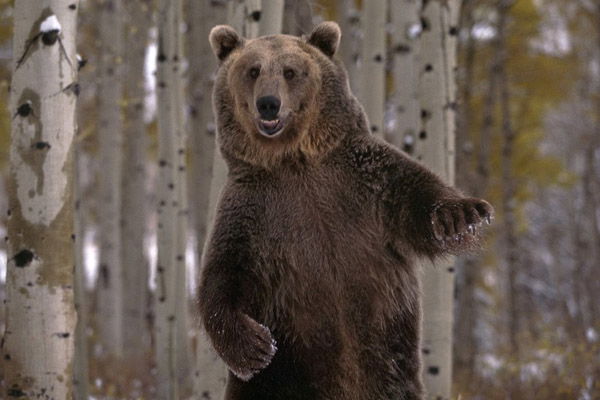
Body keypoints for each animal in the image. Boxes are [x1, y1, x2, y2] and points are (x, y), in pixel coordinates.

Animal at [197, 21, 492, 400]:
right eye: (253, 70)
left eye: (290, 71)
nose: (268, 104)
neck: (295, 161)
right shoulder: (253, 213)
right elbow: (223, 276)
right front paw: (255, 347)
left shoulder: (365, 182)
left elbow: (416, 195)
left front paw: (461, 216)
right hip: (283, 377)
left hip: (390, 366)